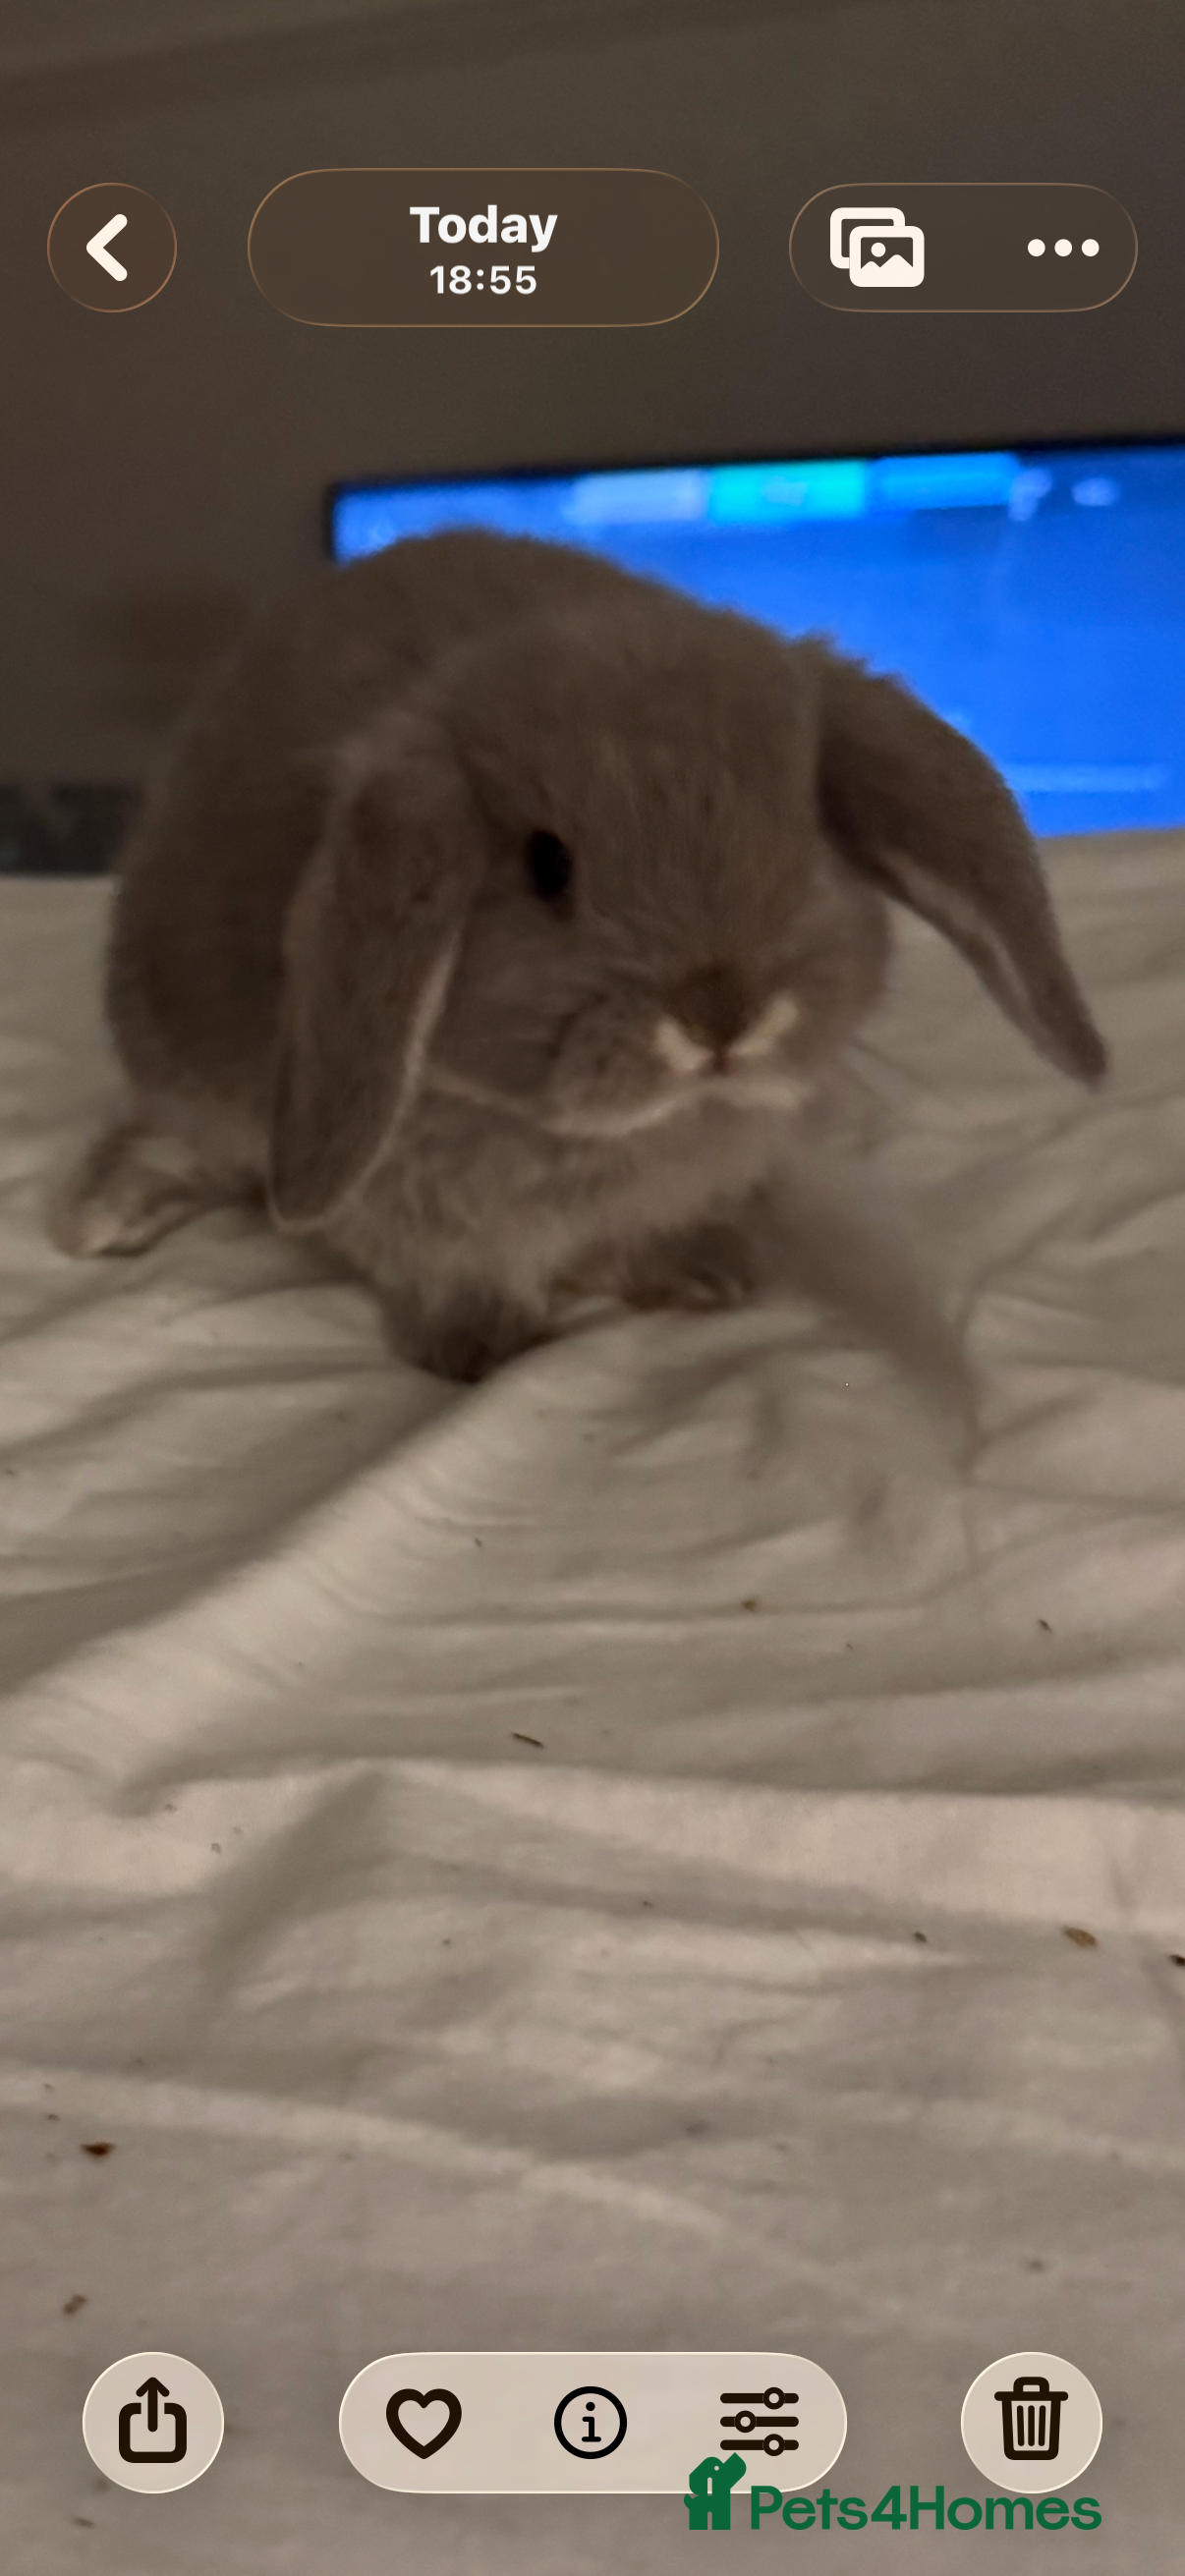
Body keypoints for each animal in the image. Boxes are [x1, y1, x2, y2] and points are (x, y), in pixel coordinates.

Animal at [53, 527, 1107, 1382]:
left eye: (808, 836)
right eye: (547, 866)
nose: (721, 1015)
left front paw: (700, 1274)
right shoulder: (411, 1214)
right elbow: (456, 1272)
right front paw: (482, 1348)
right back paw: (104, 1217)